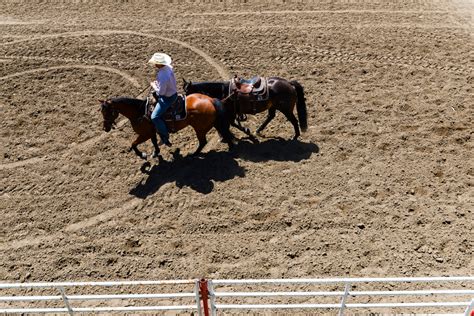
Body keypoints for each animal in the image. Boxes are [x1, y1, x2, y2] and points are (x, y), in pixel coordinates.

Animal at [100, 92, 233, 159]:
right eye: (101, 111)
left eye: (107, 112)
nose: (105, 128)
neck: (140, 112)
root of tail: (211, 100)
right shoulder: (151, 132)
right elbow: (154, 142)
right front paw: (156, 152)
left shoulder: (144, 134)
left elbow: (133, 144)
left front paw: (143, 155)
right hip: (213, 124)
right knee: (223, 134)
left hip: (199, 129)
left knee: (203, 142)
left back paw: (193, 154)